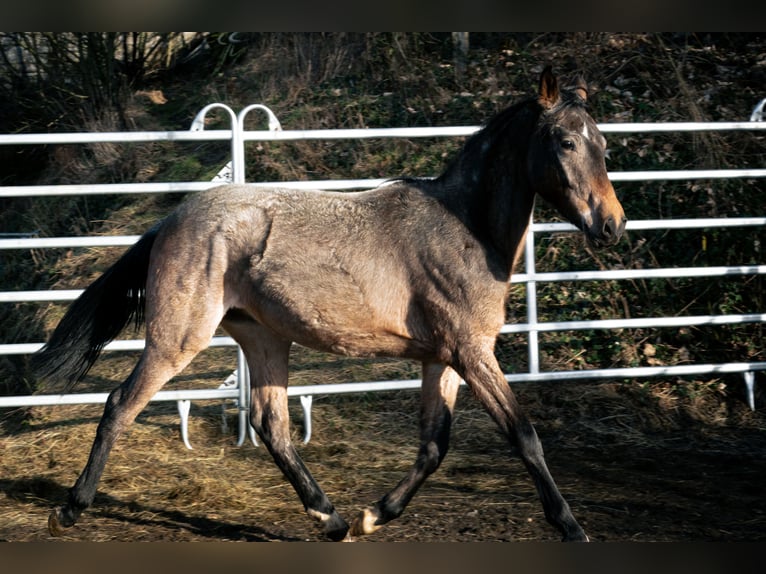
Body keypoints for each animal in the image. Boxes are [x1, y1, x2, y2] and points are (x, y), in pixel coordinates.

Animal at [33, 67, 628, 544]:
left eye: (603, 145)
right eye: (565, 142)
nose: (612, 225)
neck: (464, 228)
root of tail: (170, 220)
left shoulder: (443, 358)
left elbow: (433, 446)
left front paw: (373, 516)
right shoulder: (472, 352)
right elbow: (524, 436)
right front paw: (571, 527)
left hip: (263, 337)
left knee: (271, 425)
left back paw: (332, 519)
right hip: (178, 337)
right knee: (120, 404)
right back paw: (68, 511)